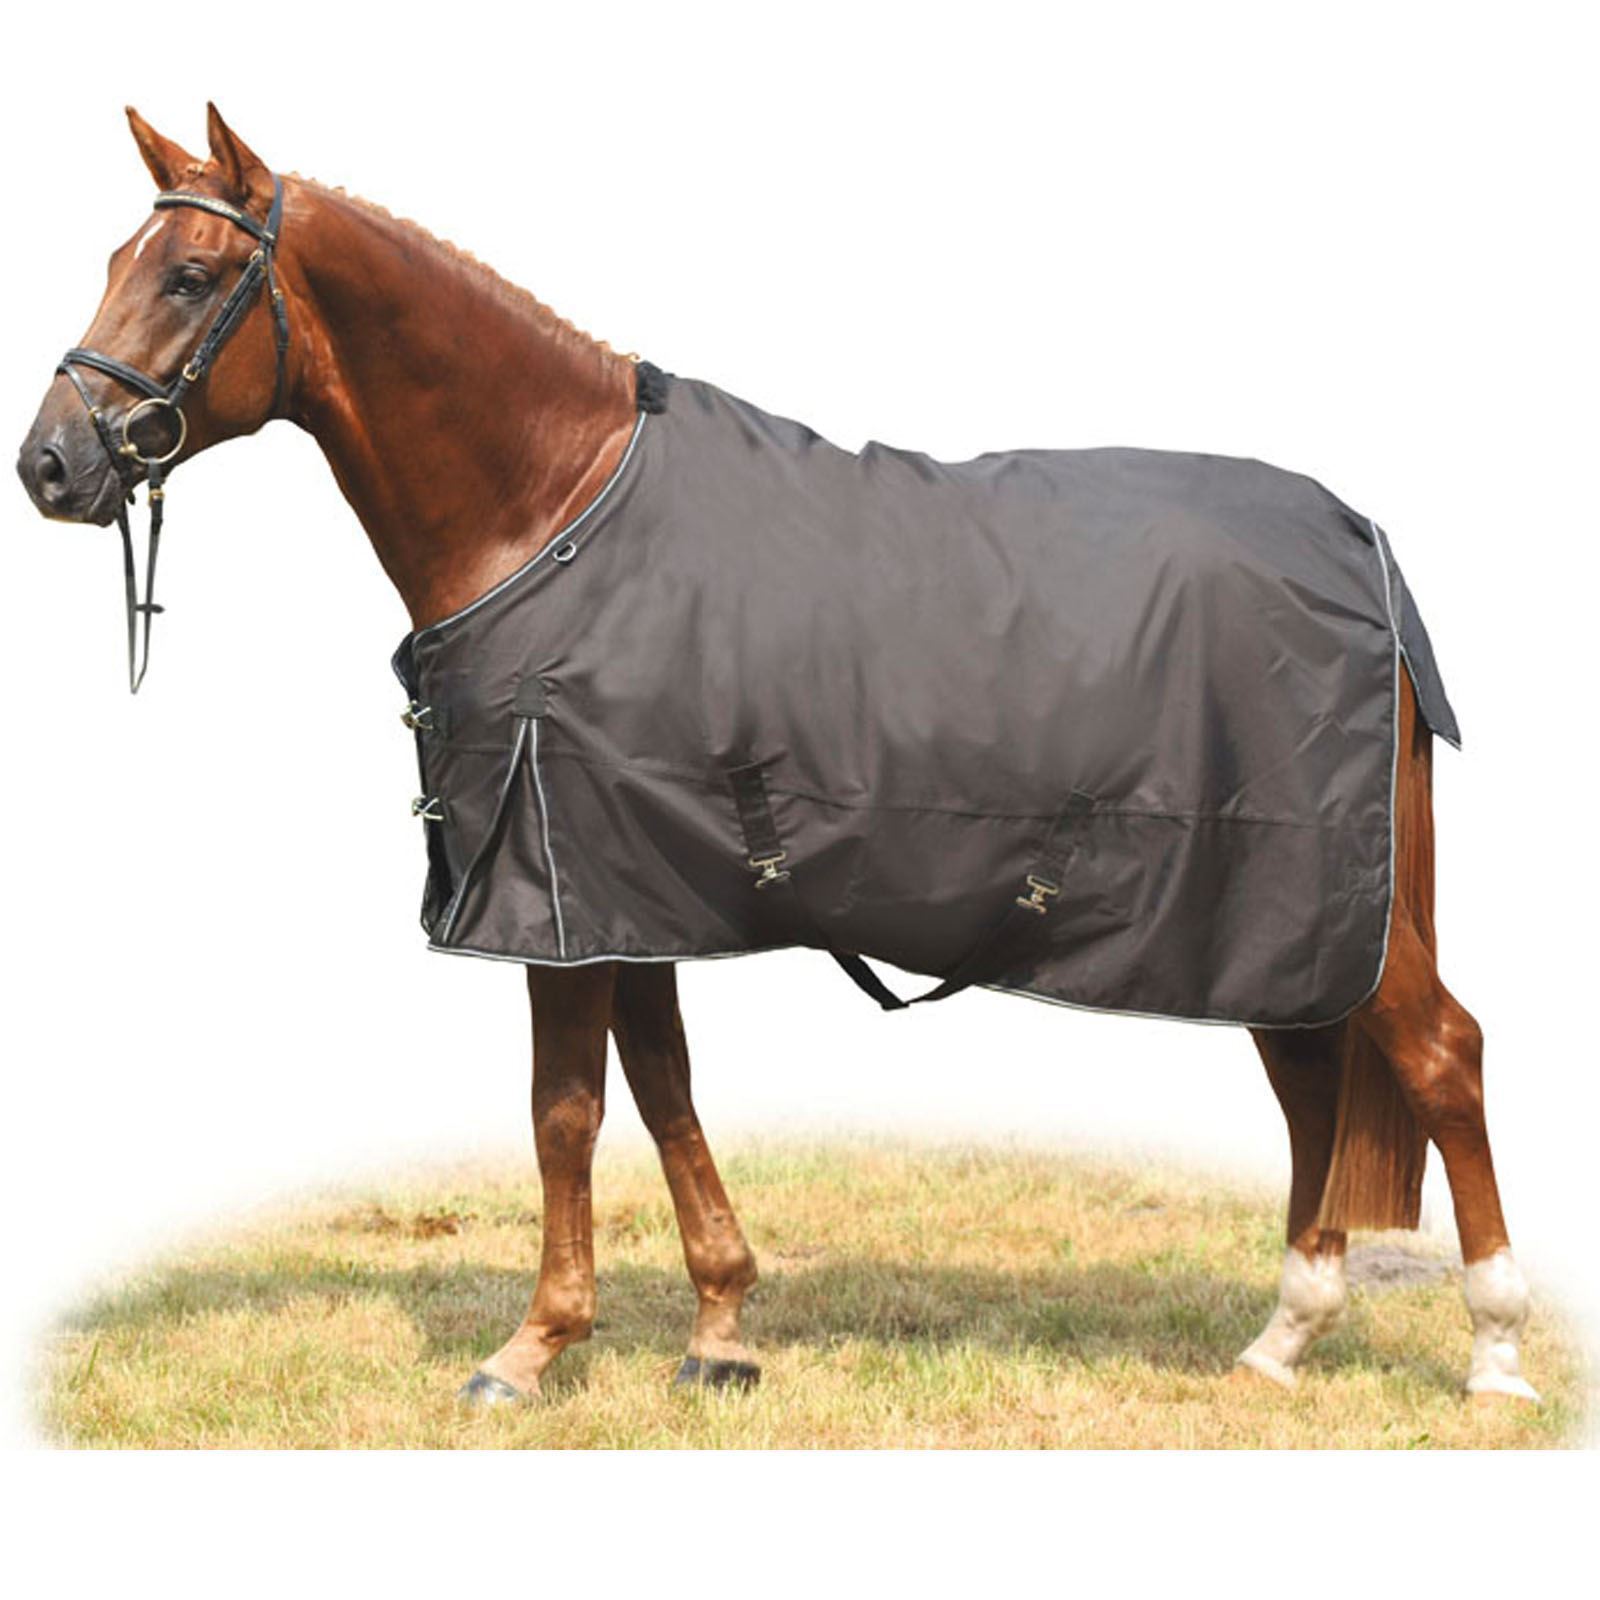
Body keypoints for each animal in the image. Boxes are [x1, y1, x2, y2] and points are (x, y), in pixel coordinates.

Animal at [15, 105, 1538, 1409]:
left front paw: (533, 1346)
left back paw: (1496, 1353)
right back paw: (1283, 1339)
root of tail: (1357, 538)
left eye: (191, 273)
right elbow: (662, 1090)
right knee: (1312, 1080)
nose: (49, 465)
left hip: (1324, 895)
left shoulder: (560, 884)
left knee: (1440, 1054)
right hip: (1277, 919)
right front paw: (720, 1328)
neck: (551, 506)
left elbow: (565, 1108)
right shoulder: (628, 889)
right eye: (113, 262)